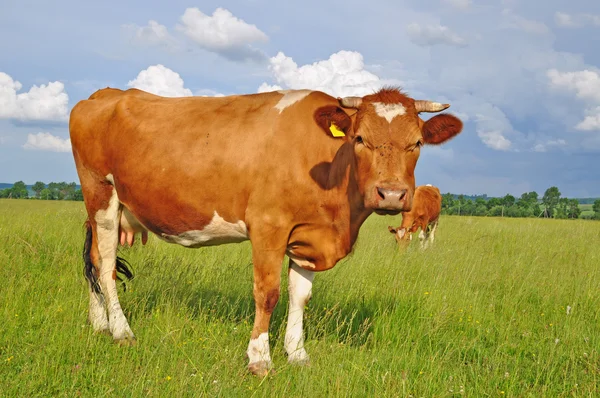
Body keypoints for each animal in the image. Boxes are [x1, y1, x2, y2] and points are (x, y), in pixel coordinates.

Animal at [70, 87, 464, 376]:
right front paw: (260, 358)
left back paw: (99, 323)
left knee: (93, 260)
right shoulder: (268, 226)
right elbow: (268, 293)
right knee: (106, 266)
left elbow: (300, 296)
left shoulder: (307, 237)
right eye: (360, 139)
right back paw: (121, 331)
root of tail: (106, 93)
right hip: (101, 193)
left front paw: (298, 353)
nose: (392, 194)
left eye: (416, 143)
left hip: (102, 207)